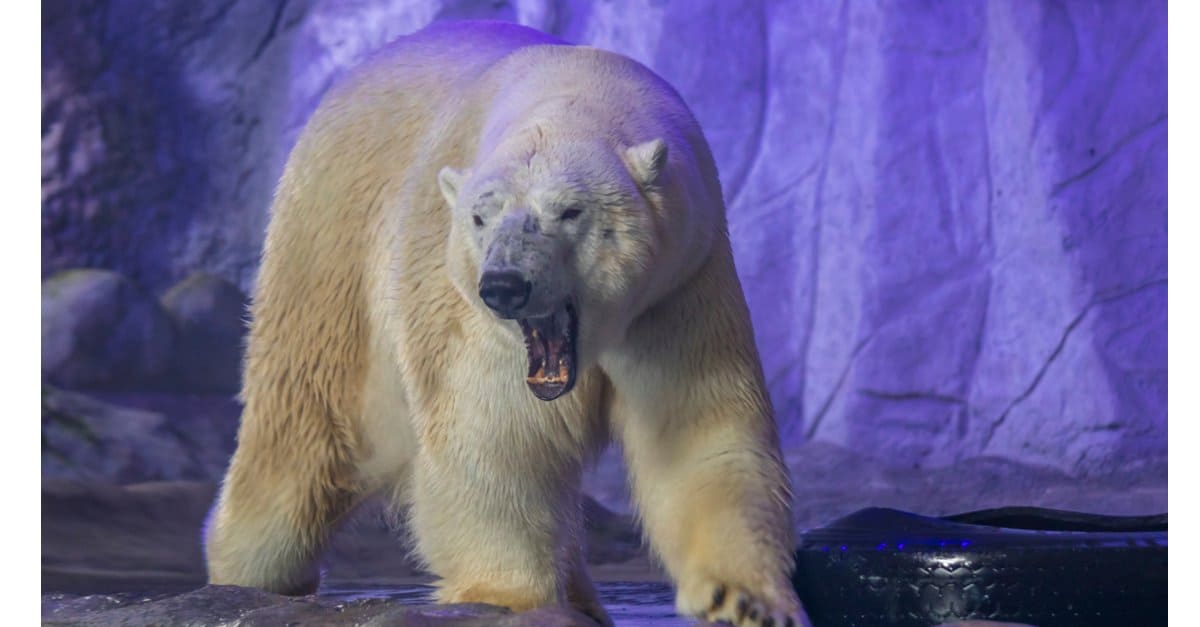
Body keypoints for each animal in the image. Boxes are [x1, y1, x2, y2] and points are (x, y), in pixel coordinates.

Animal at [204, 20, 809, 627]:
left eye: (570, 210)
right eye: (480, 215)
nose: (504, 284)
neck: (578, 86)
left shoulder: (678, 288)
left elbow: (695, 434)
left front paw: (742, 600)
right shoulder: (466, 314)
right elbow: (494, 437)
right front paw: (510, 597)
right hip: (333, 255)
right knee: (304, 433)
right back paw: (250, 574)